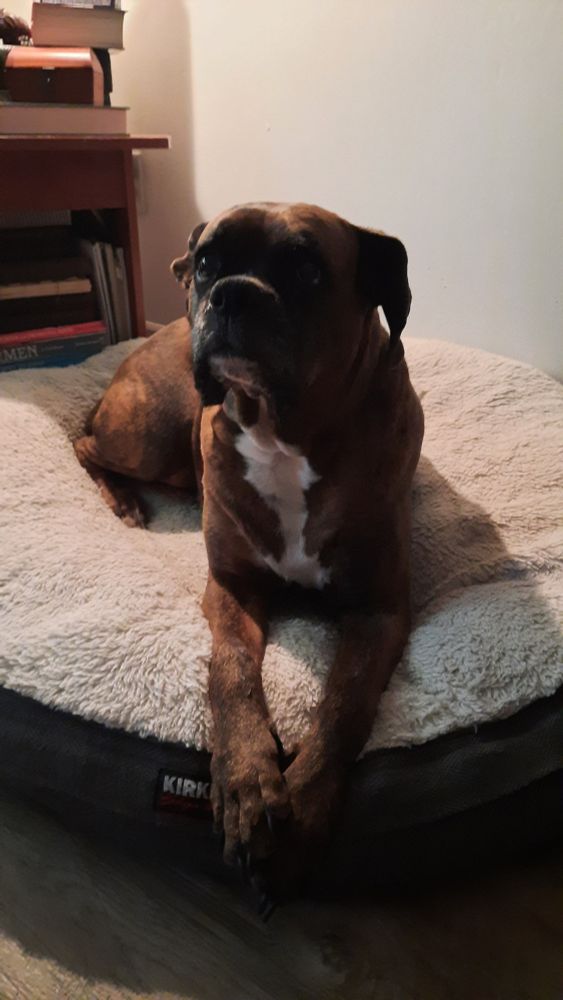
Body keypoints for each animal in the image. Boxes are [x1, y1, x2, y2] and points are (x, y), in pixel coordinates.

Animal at [74, 202, 424, 902]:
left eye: (307, 268)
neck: (283, 436)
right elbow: (231, 670)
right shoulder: (233, 587)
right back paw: (123, 500)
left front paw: (304, 808)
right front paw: (245, 784)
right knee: (81, 441)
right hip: (147, 435)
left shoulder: (379, 612)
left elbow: (345, 702)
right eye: (208, 261)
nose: (232, 293)